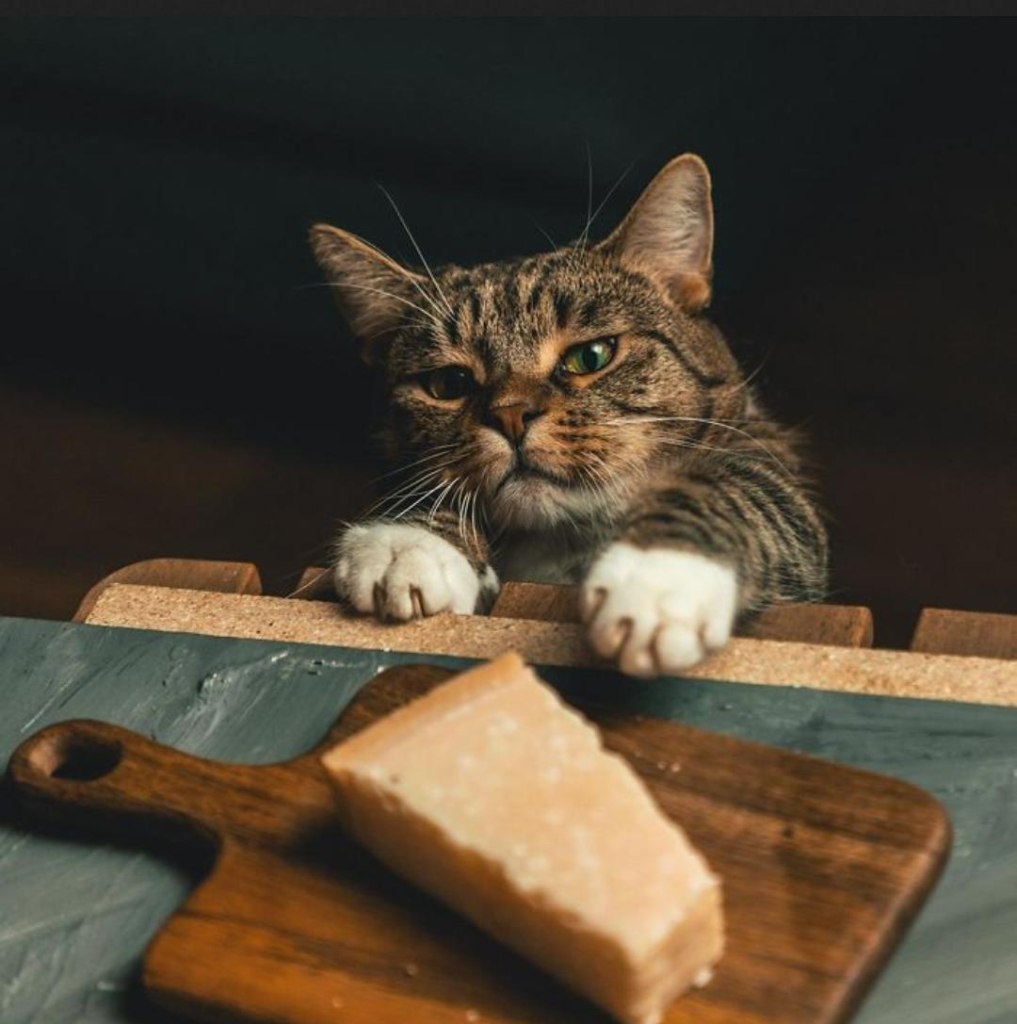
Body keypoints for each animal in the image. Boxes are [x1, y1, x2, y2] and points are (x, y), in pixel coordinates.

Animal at [309, 153, 827, 679]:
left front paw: (657, 578)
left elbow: (735, 490)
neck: (560, 547)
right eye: (448, 385)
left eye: (591, 356)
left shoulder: (768, 465)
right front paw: (408, 543)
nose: (511, 416)